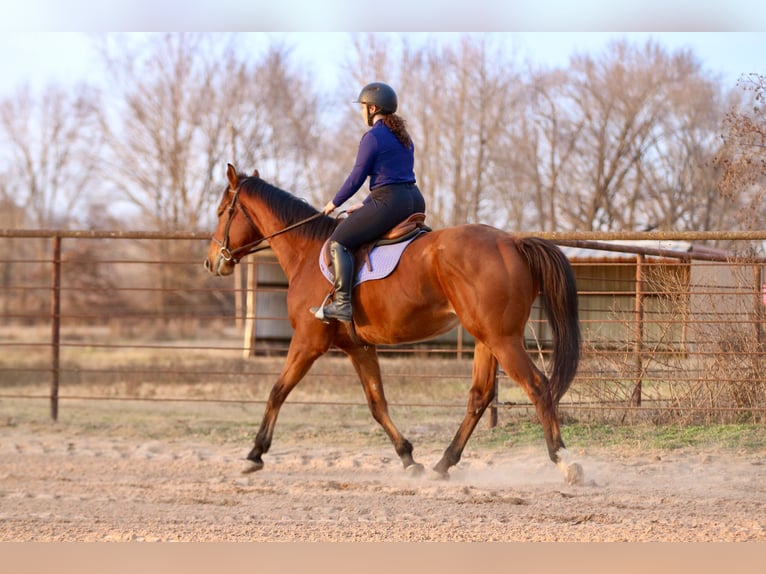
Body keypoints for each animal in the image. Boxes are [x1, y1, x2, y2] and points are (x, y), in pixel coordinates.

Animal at [204, 164, 584, 484]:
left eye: (223, 212)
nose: (211, 262)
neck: (307, 253)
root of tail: (513, 242)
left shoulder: (308, 343)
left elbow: (277, 391)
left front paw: (255, 454)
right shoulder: (358, 347)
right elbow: (377, 403)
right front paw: (408, 458)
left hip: (503, 339)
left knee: (537, 386)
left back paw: (566, 461)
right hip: (486, 339)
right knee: (480, 396)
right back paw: (443, 464)